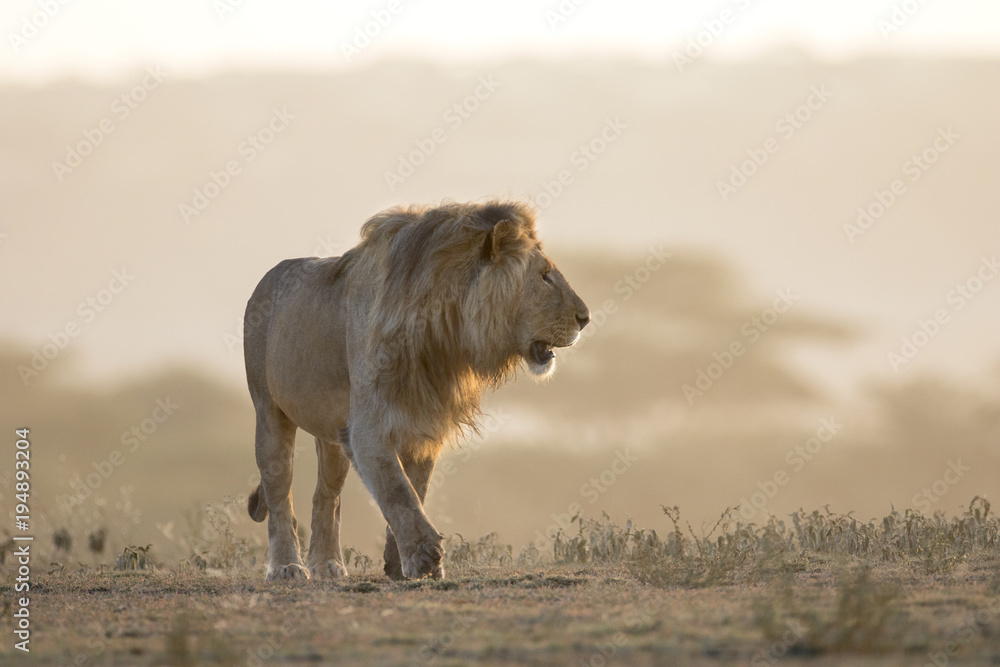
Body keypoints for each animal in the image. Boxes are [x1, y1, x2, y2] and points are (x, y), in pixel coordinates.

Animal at [243, 200, 589, 581]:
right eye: (544, 276)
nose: (585, 318)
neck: (443, 333)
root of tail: (267, 277)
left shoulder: (424, 420)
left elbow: (416, 488)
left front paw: (399, 563)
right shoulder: (367, 426)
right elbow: (397, 490)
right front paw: (424, 557)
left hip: (331, 432)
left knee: (327, 496)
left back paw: (328, 565)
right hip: (268, 411)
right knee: (279, 493)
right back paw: (287, 566)